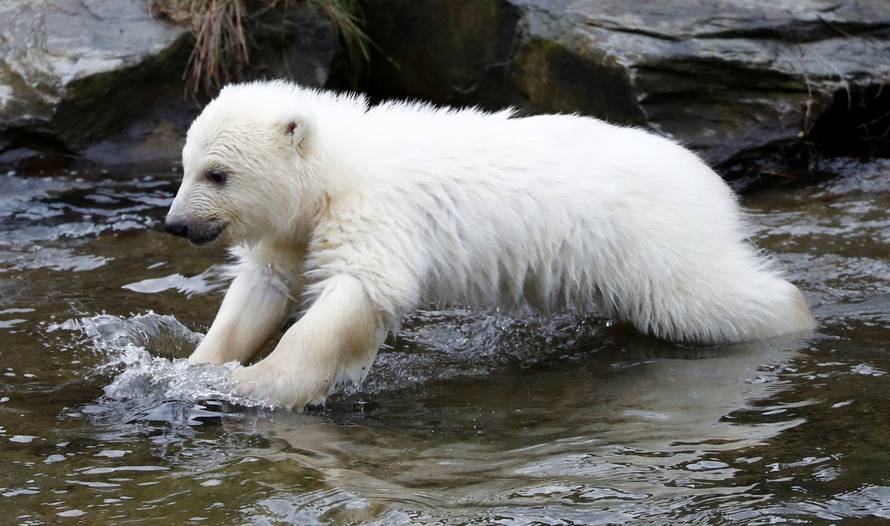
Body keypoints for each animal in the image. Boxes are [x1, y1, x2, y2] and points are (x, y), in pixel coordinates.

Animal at [164, 80, 816, 410]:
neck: (333, 170)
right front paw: (192, 369)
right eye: (186, 165)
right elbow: (263, 287)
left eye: (217, 173)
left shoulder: (376, 213)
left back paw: (795, 317)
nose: (175, 223)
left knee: (704, 301)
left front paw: (257, 386)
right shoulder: (292, 230)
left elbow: (357, 292)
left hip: (654, 242)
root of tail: (711, 181)